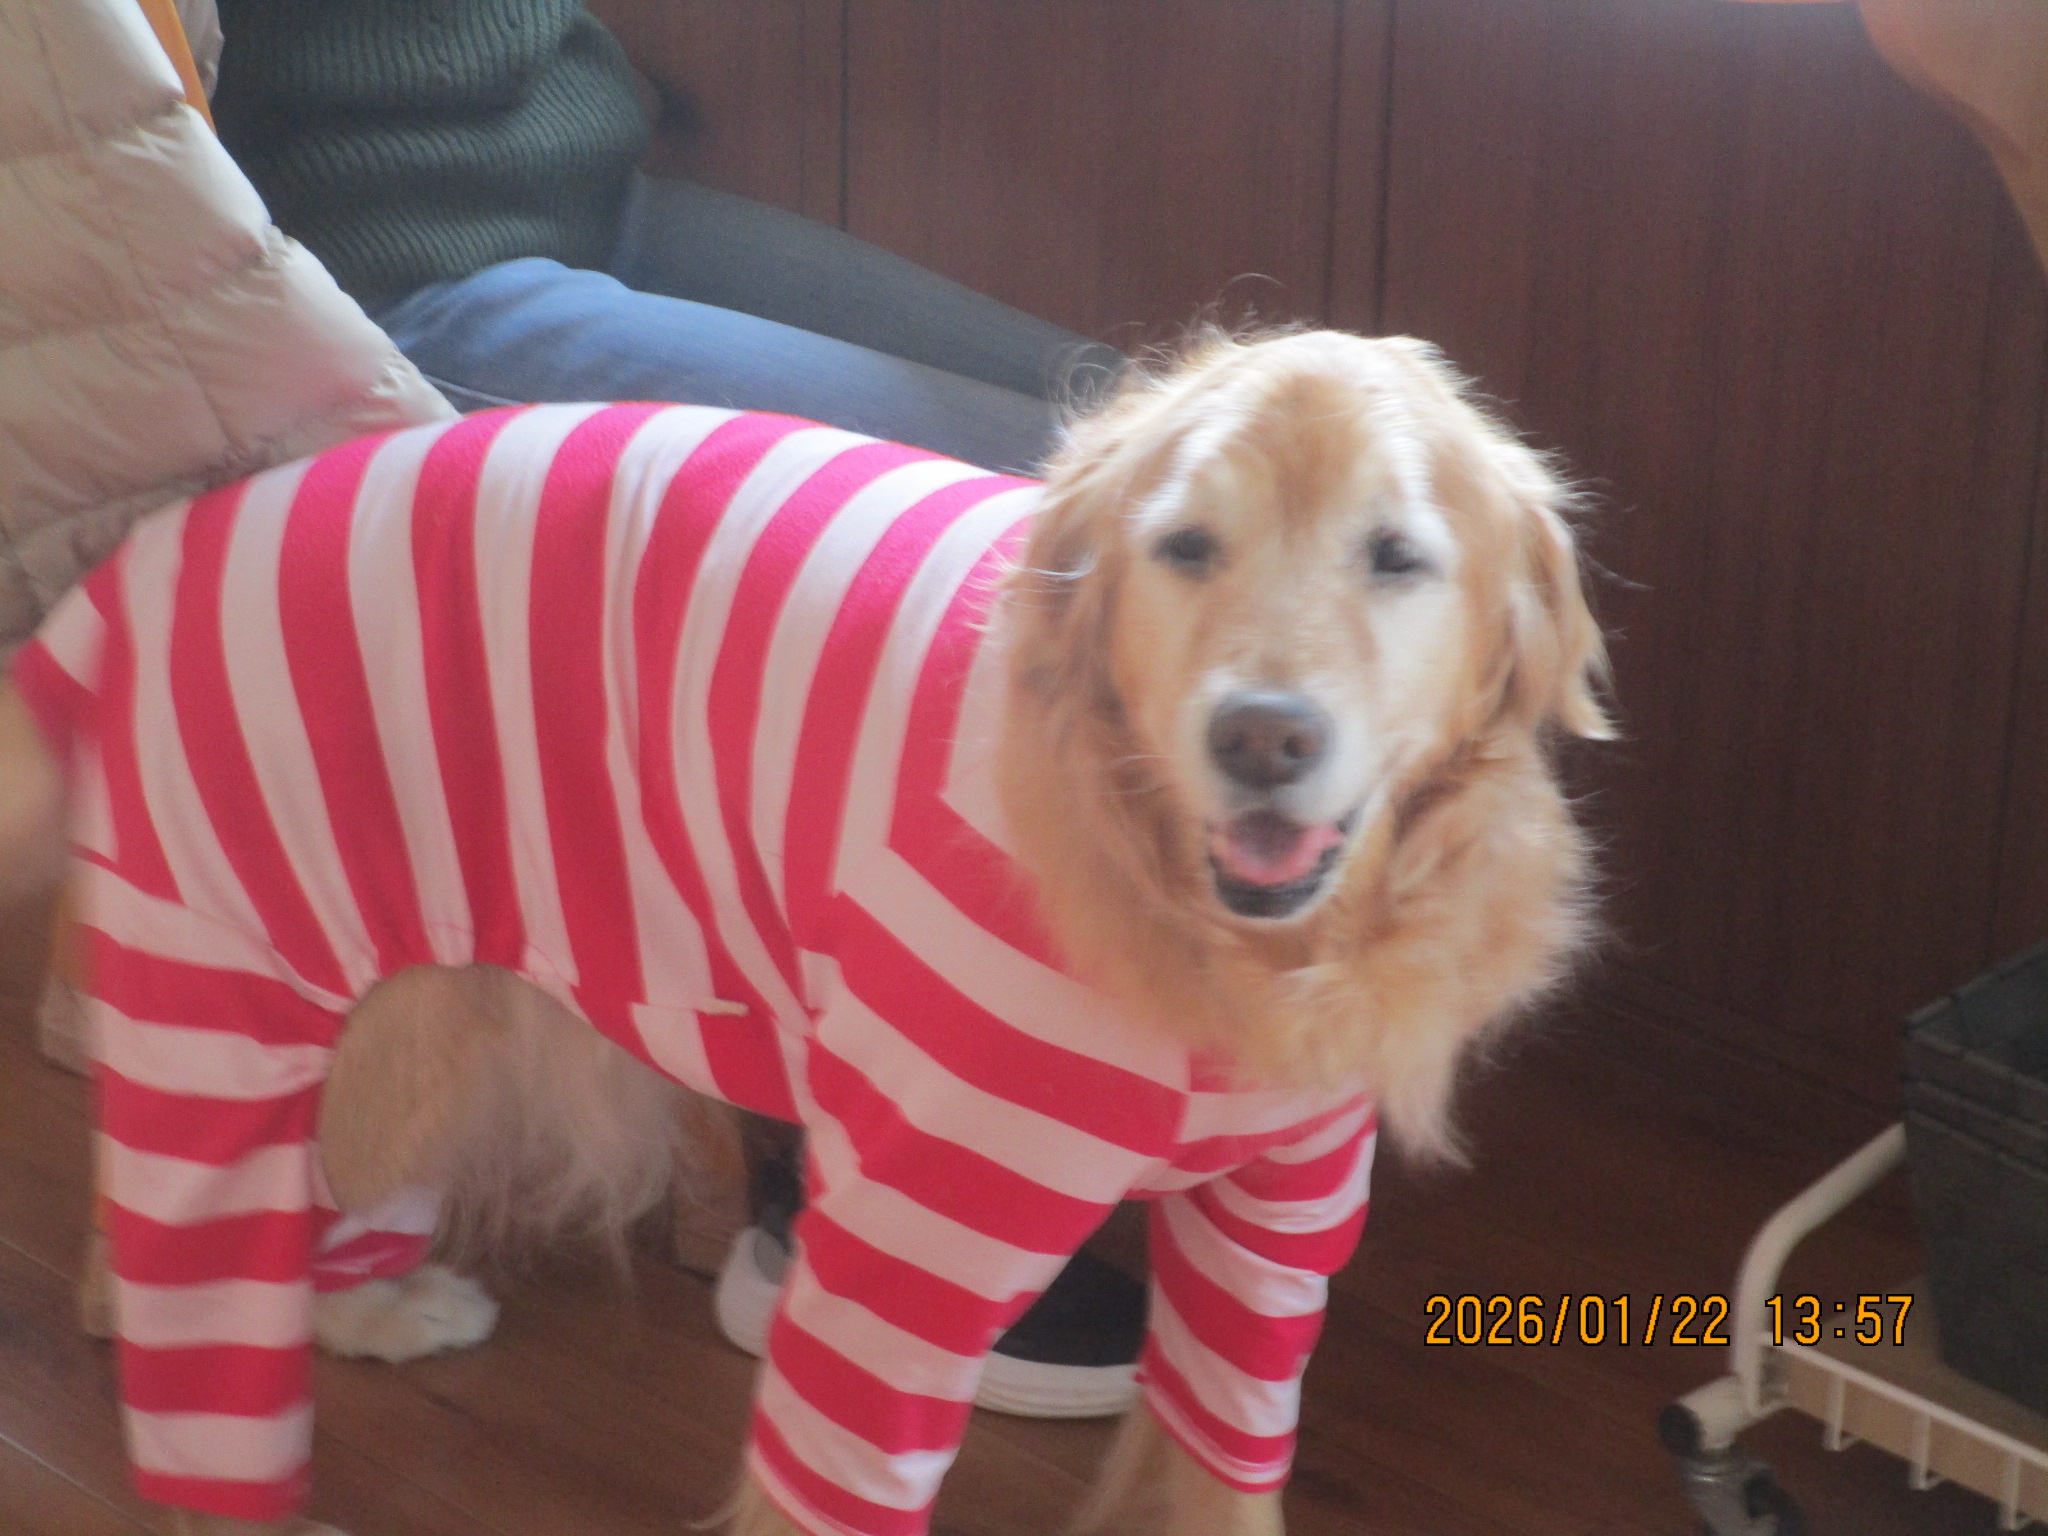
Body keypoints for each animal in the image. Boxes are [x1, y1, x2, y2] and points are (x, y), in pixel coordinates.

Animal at [0, 329, 1609, 1536]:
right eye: (1186, 546)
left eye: (1396, 555)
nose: (1262, 738)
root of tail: (138, 564)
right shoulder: (906, 1254)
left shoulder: (1279, 1224)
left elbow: (1224, 1460)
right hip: (255, 994)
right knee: (182, 1297)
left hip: (410, 1020)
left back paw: (374, 1307)